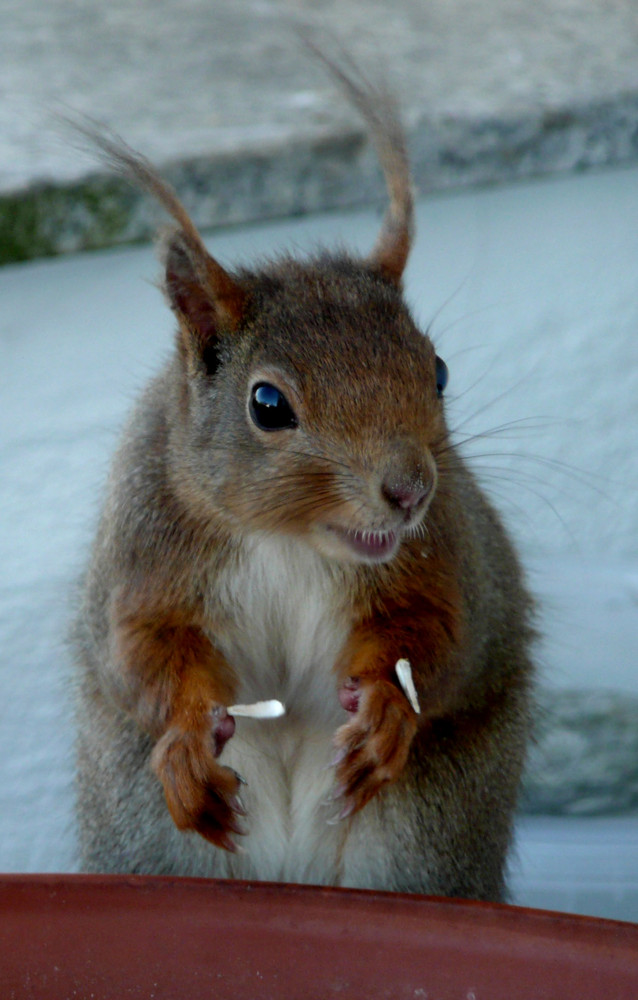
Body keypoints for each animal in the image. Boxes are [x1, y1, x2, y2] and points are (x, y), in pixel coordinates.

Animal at [72, 47, 536, 904]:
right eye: (267, 404)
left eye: (438, 371)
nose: (410, 492)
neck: (288, 540)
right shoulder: (145, 561)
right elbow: (145, 656)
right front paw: (185, 746)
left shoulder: (444, 564)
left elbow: (439, 639)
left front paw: (385, 712)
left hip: (422, 836)